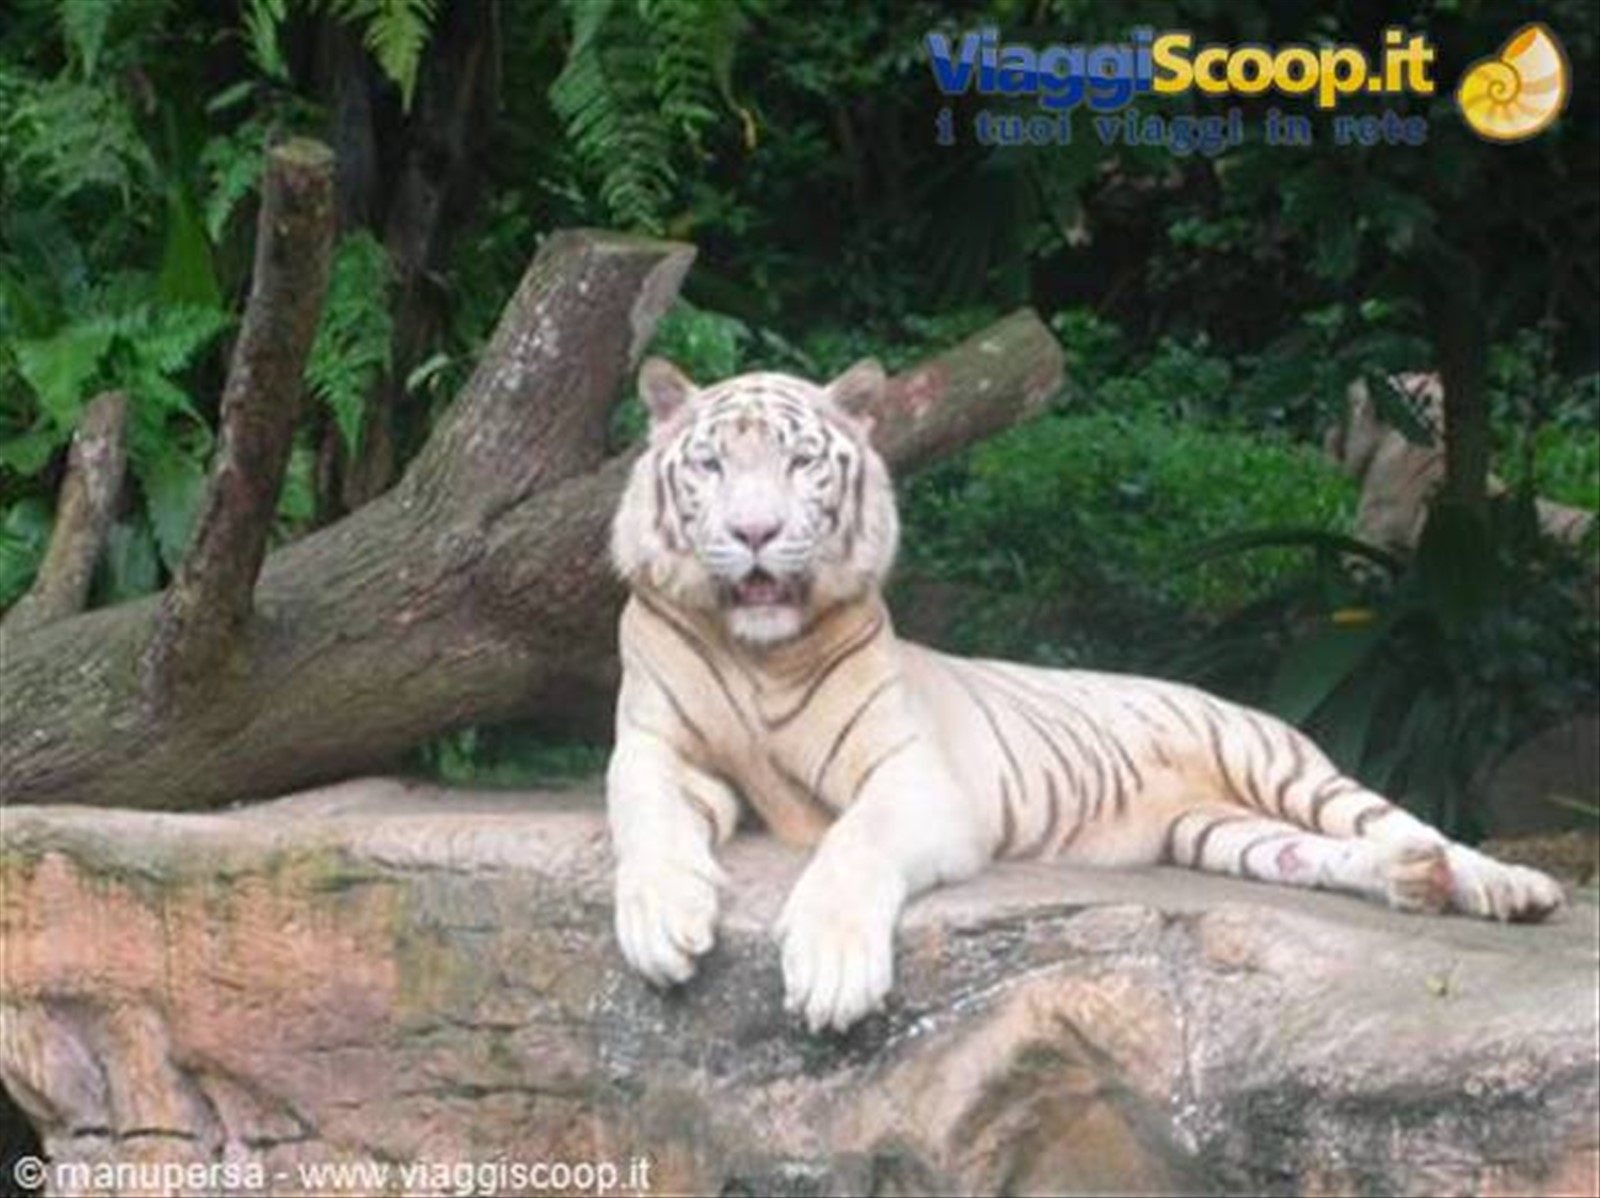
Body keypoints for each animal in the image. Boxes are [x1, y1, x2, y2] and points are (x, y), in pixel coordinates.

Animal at [608, 357, 1565, 1033]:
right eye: (711, 465)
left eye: (802, 461)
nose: (755, 531)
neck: (760, 652)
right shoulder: (654, 746)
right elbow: (646, 816)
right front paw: (663, 922)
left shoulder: (918, 778)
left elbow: (854, 846)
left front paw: (833, 970)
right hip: (1220, 834)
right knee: (1320, 853)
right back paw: (1410, 881)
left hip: (1285, 766)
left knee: (1409, 822)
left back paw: (1504, 886)